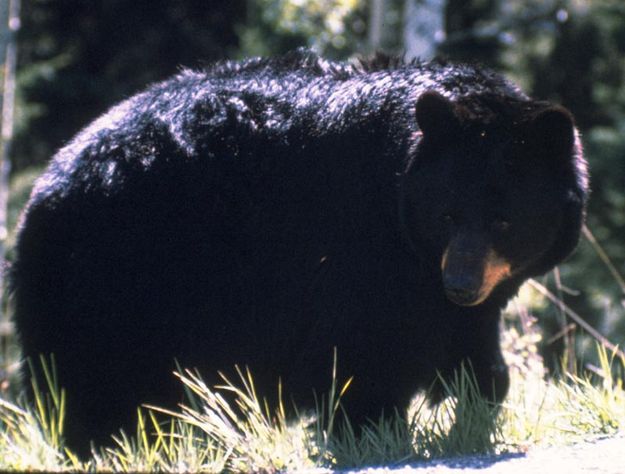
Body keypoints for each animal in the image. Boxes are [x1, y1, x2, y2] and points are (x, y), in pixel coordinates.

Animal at [8, 49, 584, 456]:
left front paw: (478, 405)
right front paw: (371, 431)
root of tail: (44, 189)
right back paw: (112, 447)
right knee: (100, 382)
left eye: (503, 219)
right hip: (114, 277)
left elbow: (472, 347)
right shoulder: (362, 251)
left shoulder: (445, 283)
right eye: (447, 215)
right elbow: (364, 350)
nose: (460, 285)